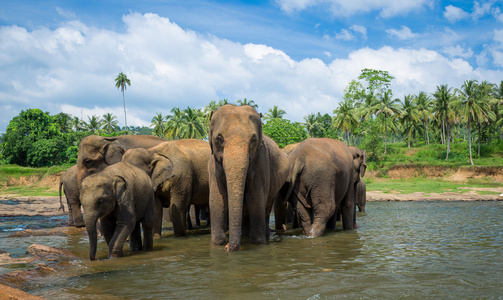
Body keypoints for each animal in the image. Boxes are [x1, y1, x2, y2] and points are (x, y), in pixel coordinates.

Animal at [208, 104, 288, 252]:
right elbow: (217, 200)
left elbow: (255, 198)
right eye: (219, 139)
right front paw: (218, 243)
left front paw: (258, 243)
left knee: (266, 208)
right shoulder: (213, 165)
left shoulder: (261, 161)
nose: (228, 247)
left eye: (253, 140)